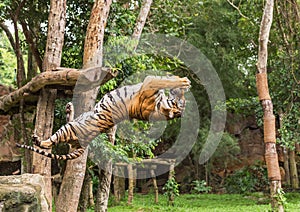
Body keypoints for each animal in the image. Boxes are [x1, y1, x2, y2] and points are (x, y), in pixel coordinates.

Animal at [16, 75, 190, 160]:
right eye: (181, 102)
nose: (182, 98)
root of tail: (85, 144)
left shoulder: (149, 82)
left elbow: (162, 80)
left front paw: (182, 81)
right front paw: (183, 82)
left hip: (68, 129)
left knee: (49, 142)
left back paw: (38, 139)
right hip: (76, 124)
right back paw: (69, 108)